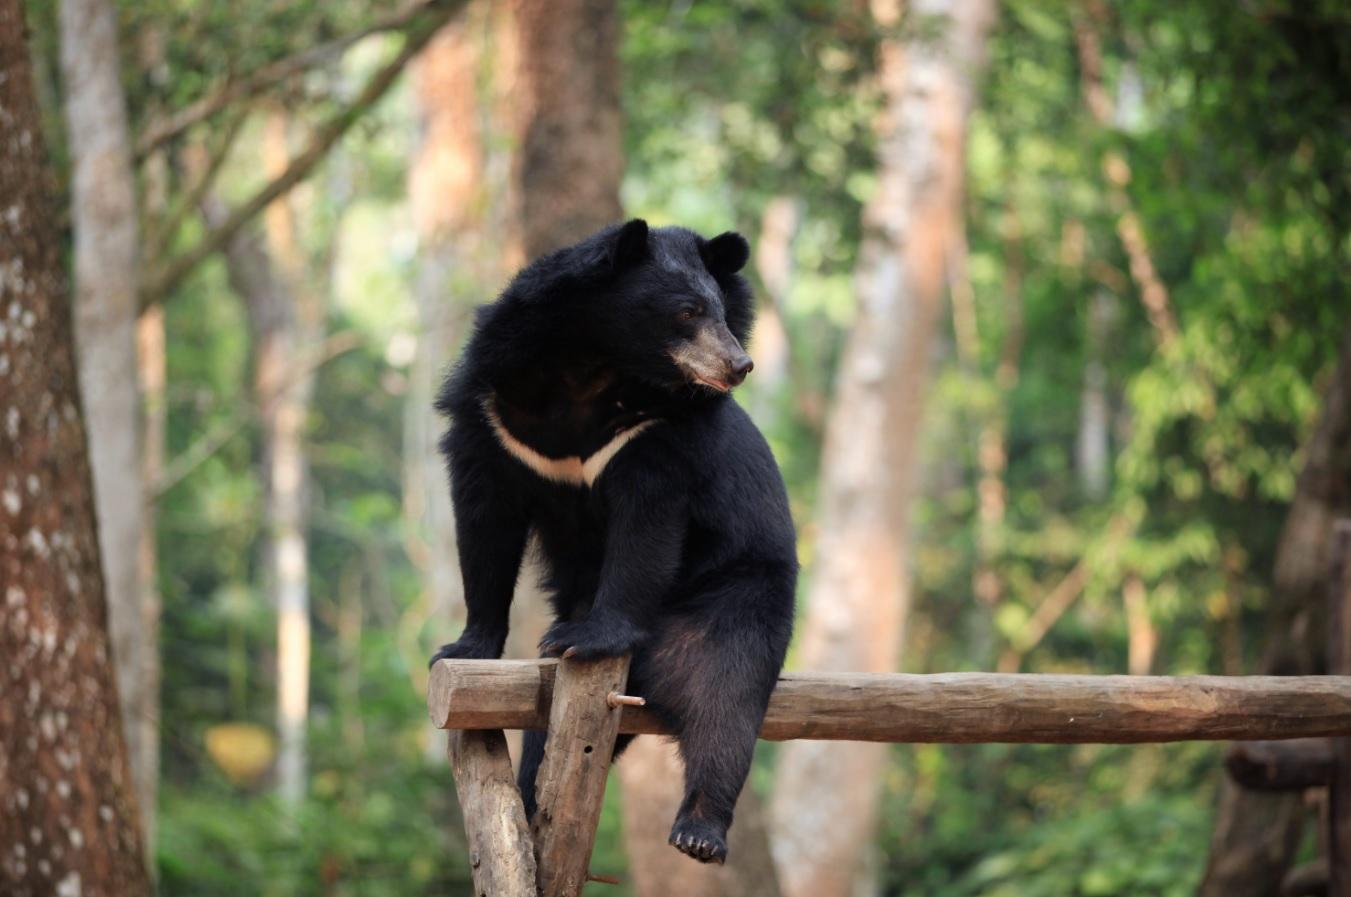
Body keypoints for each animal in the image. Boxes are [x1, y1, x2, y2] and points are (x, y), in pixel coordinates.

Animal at [426, 216, 794, 864]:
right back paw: (530, 802)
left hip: (738, 594)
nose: (740, 363)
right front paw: (462, 648)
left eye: (723, 310)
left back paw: (699, 831)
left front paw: (590, 636)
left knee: (726, 697)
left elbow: (644, 532)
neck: (592, 363)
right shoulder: (493, 417)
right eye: (688, 311)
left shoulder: (652, 434)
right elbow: (484, 526)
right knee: (543, 733)